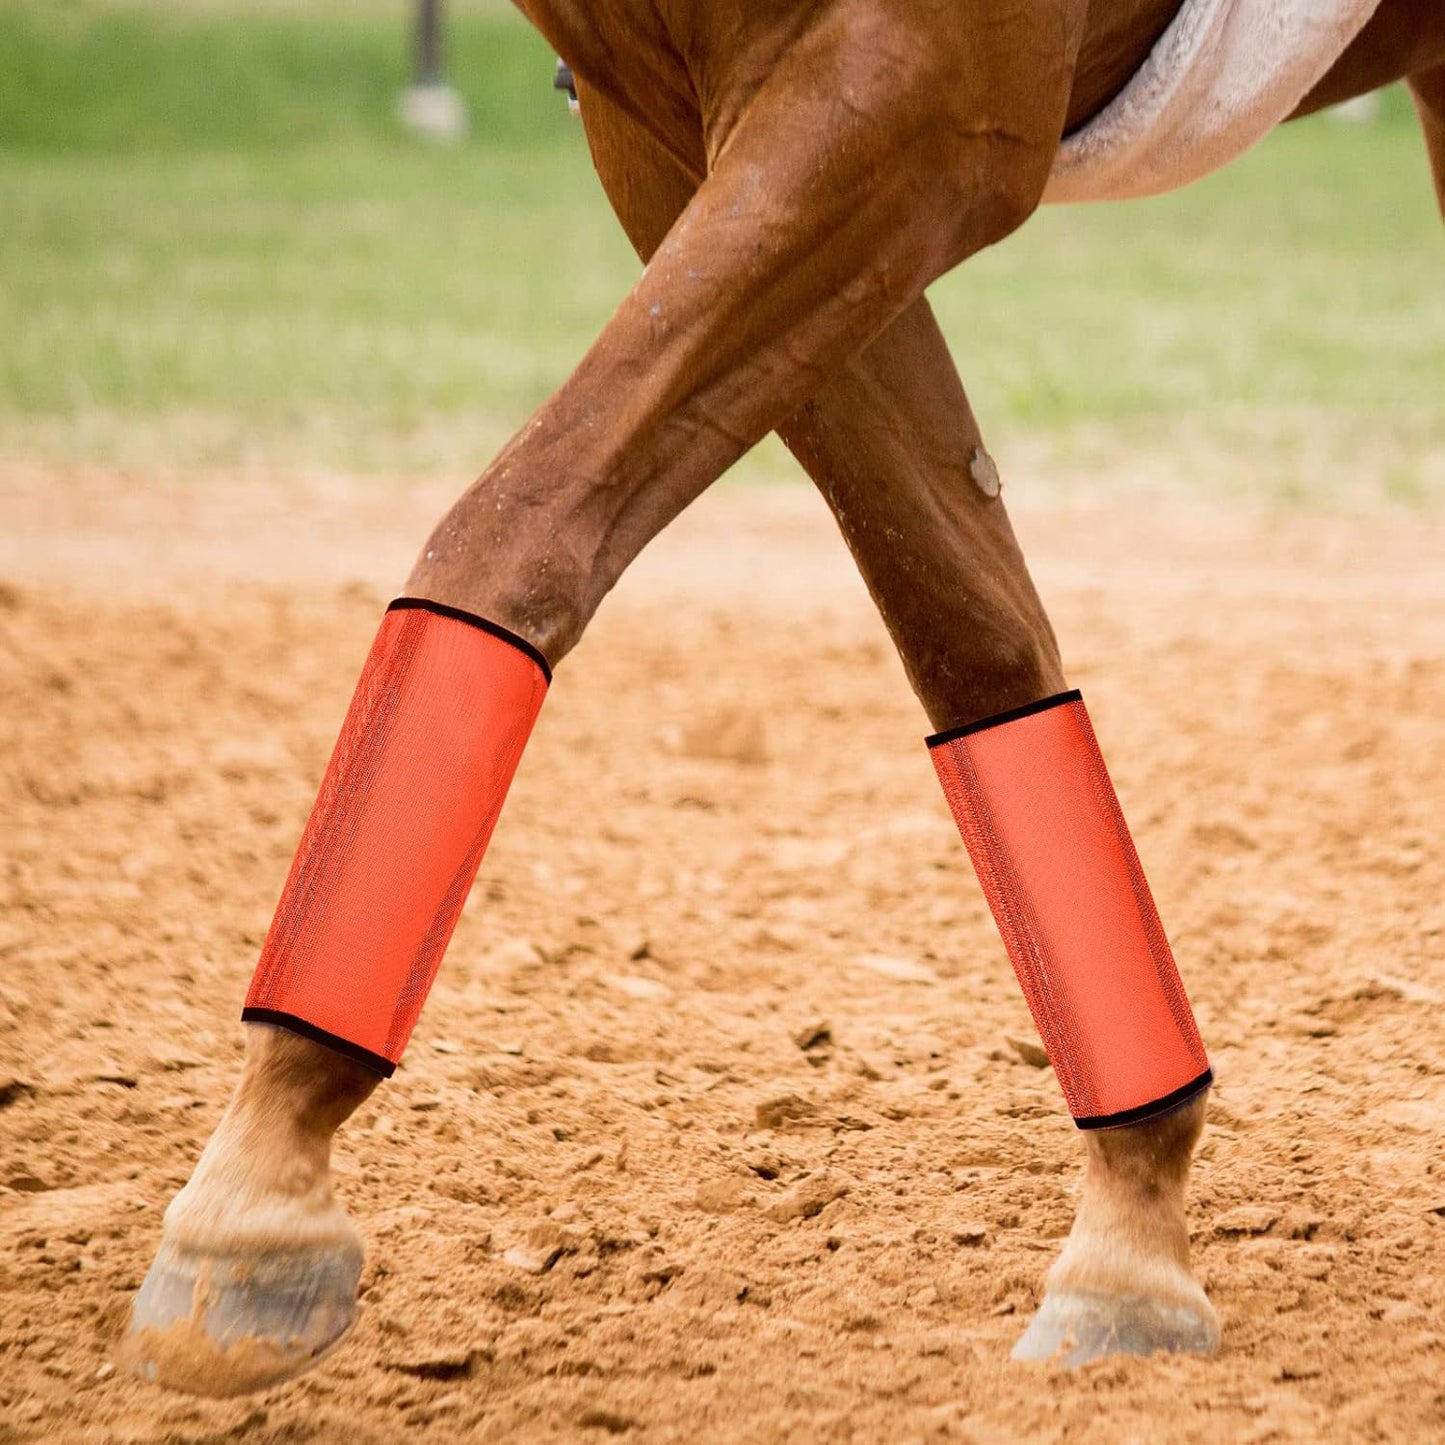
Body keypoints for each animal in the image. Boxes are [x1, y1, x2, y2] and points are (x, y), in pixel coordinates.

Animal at [124, 0, 1445, 1395]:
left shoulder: (907, 105)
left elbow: (517, 526)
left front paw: (257, 1194)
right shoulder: (671, 139)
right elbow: (968, 634)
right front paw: (1130, 1232)